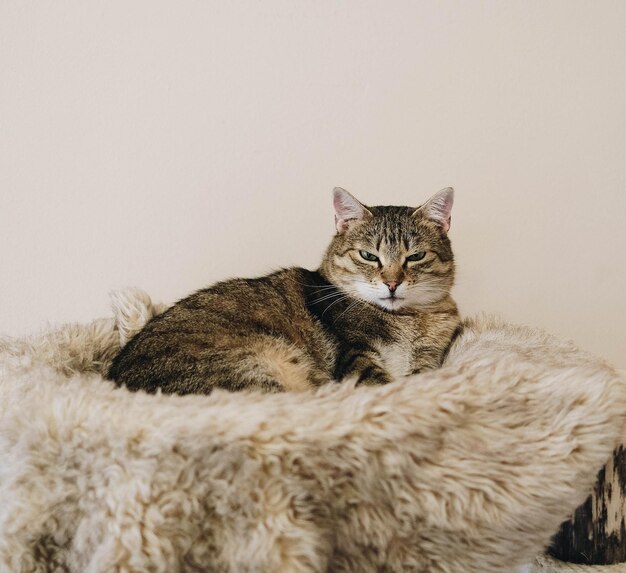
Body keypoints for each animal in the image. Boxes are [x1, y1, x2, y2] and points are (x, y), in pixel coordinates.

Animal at [106, 188, 458, 394]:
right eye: (369, 256)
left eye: (416, 256)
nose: (392, 283)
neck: (410, 320)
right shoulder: (355, 357)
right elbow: (387, 387)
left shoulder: (428, 362)